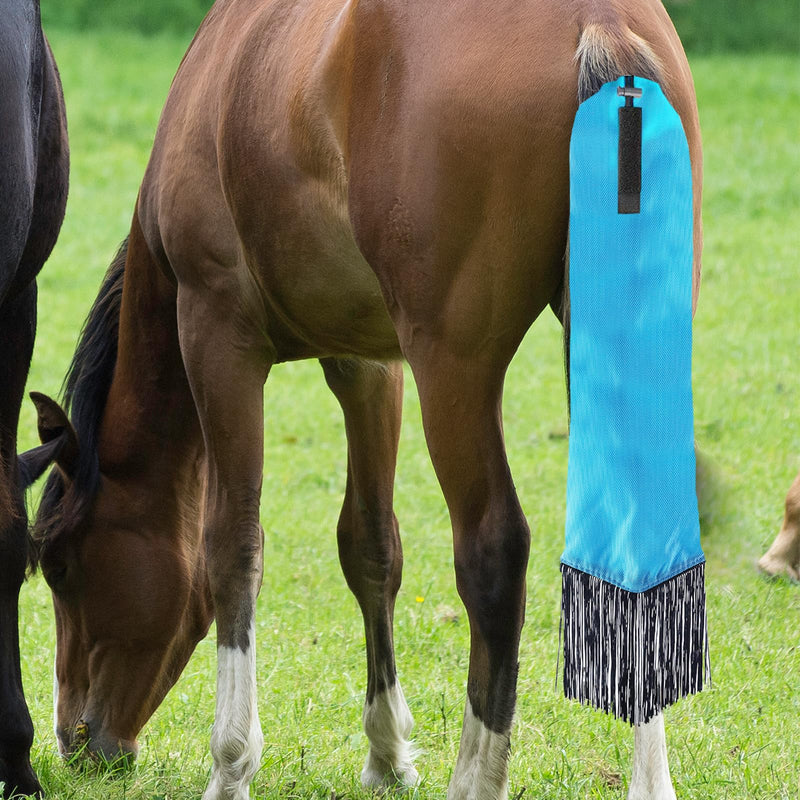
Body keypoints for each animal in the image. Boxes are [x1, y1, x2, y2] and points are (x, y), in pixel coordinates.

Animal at [22, 1, 702, 798]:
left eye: (60, 566)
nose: (77, 739)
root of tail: (602, 27)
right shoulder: (368, 364)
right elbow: (371, 546)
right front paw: (387, 752)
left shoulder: (218, 336)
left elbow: (232, 546)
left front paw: (231, 763)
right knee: (637, 546)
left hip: (454, 369)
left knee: (494, 553)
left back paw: (476, 776)